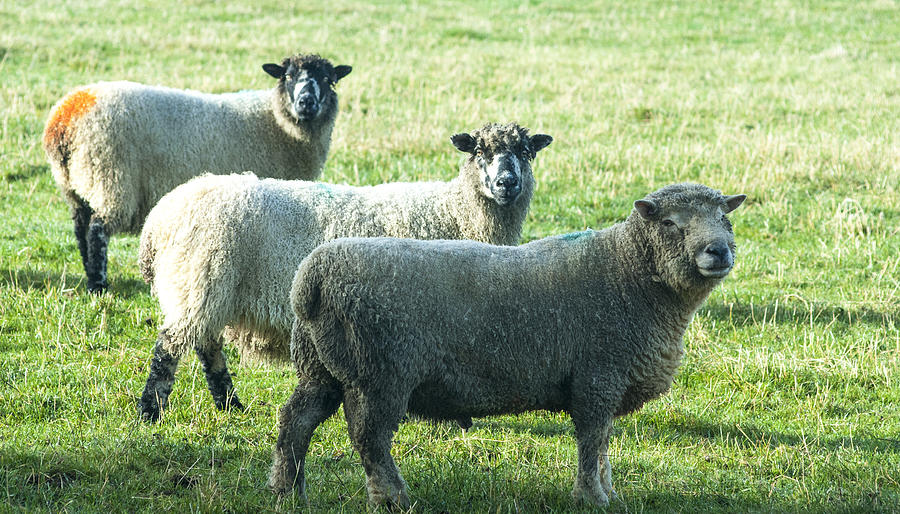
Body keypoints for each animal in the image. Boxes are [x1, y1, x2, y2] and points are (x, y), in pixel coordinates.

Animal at [42, 53, 352, 292]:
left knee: (81, 229)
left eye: (328, 80)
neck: (276, 122)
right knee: (97, 230)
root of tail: (64, 117)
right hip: (110, 178)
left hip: (76, 184)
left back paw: (89, 275)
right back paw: (99, 284)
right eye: (287, 77)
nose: (307, 103)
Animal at [136, 122, 552, 422]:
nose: (507, 183)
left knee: (207, 346)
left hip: (208, 287)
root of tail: (159, 219)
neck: (453, 211)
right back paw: (151, 412)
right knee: (170, 346)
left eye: (525, 152)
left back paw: (230, 406)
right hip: (199, 279)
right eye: (480, 152)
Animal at [270, 182, 748, 506]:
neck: (626, 273)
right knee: (369, 437)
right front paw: (592, 497)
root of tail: (311, 276)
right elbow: (591, 440)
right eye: (670, 223)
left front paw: (608, 492)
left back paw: (288, 489)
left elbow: (603, 443)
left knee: (296, 420)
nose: (718, 251)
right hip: (380, 371)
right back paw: (393, 497)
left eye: (725, 219)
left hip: (321, 364)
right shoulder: (598, 376)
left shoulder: (605, 381)